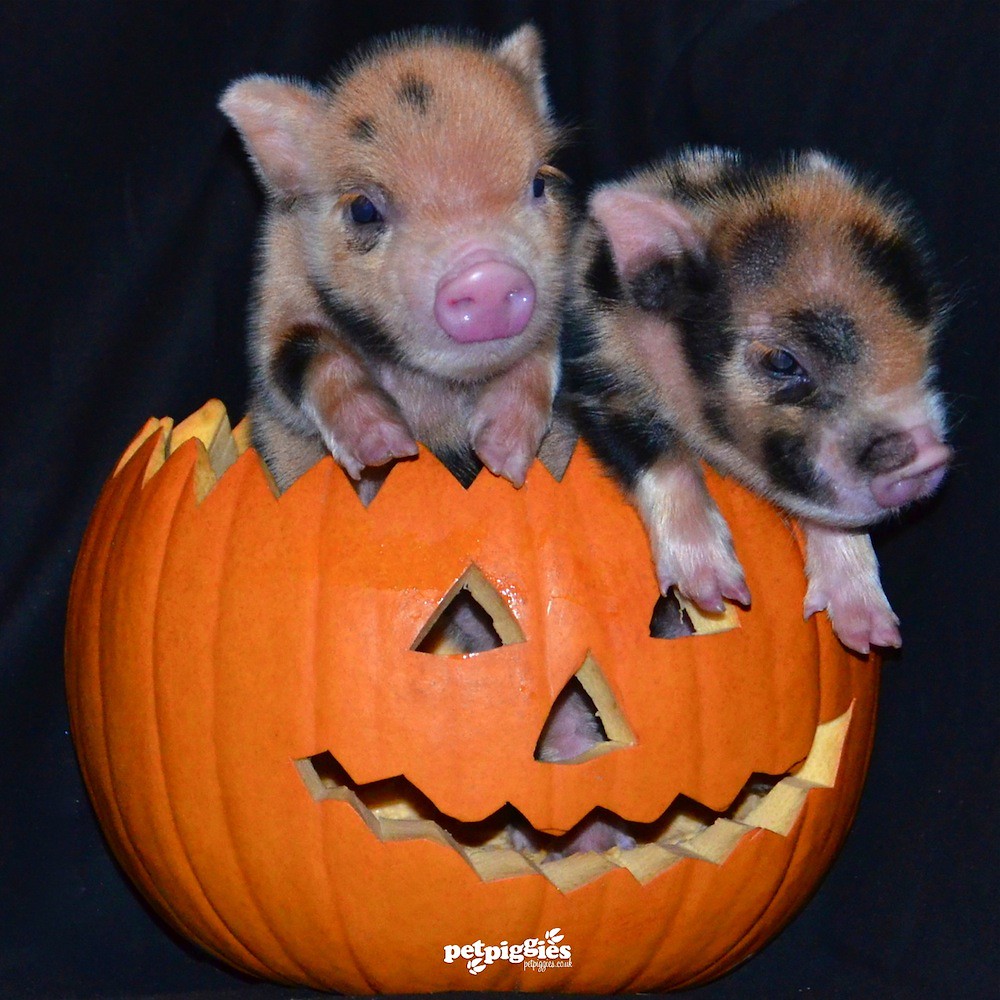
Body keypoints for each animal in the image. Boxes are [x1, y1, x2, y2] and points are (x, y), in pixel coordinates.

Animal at [219, 25, 571, 492]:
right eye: (363, 209)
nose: (488, 275)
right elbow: (310, 351)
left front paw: (504, 461)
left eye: (538, 183)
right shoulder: (276, 314)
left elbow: (540, 354)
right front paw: (388, 450)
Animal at [562, 148, 951, 654]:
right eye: (782, 360)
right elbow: (658, 456)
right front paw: (715, 592)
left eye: (923, 343)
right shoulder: (593, 374)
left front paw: (872, 634)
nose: (929, 454)